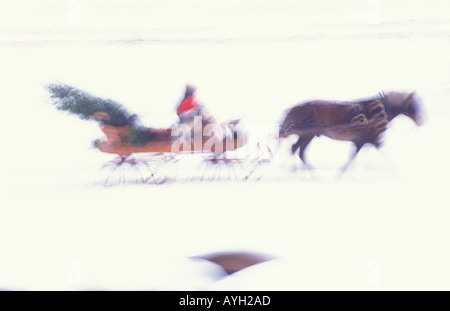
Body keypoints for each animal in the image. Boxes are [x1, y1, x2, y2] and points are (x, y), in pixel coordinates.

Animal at [280, 92, 424, 176]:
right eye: (414, 104)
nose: (422, 120)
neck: (378, 111)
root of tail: (295, 108)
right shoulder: (371, 140)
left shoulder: (363, 141)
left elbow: (352, 158)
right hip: (307, 135)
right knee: (298, 151)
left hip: (306, 135)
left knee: (297, 150)